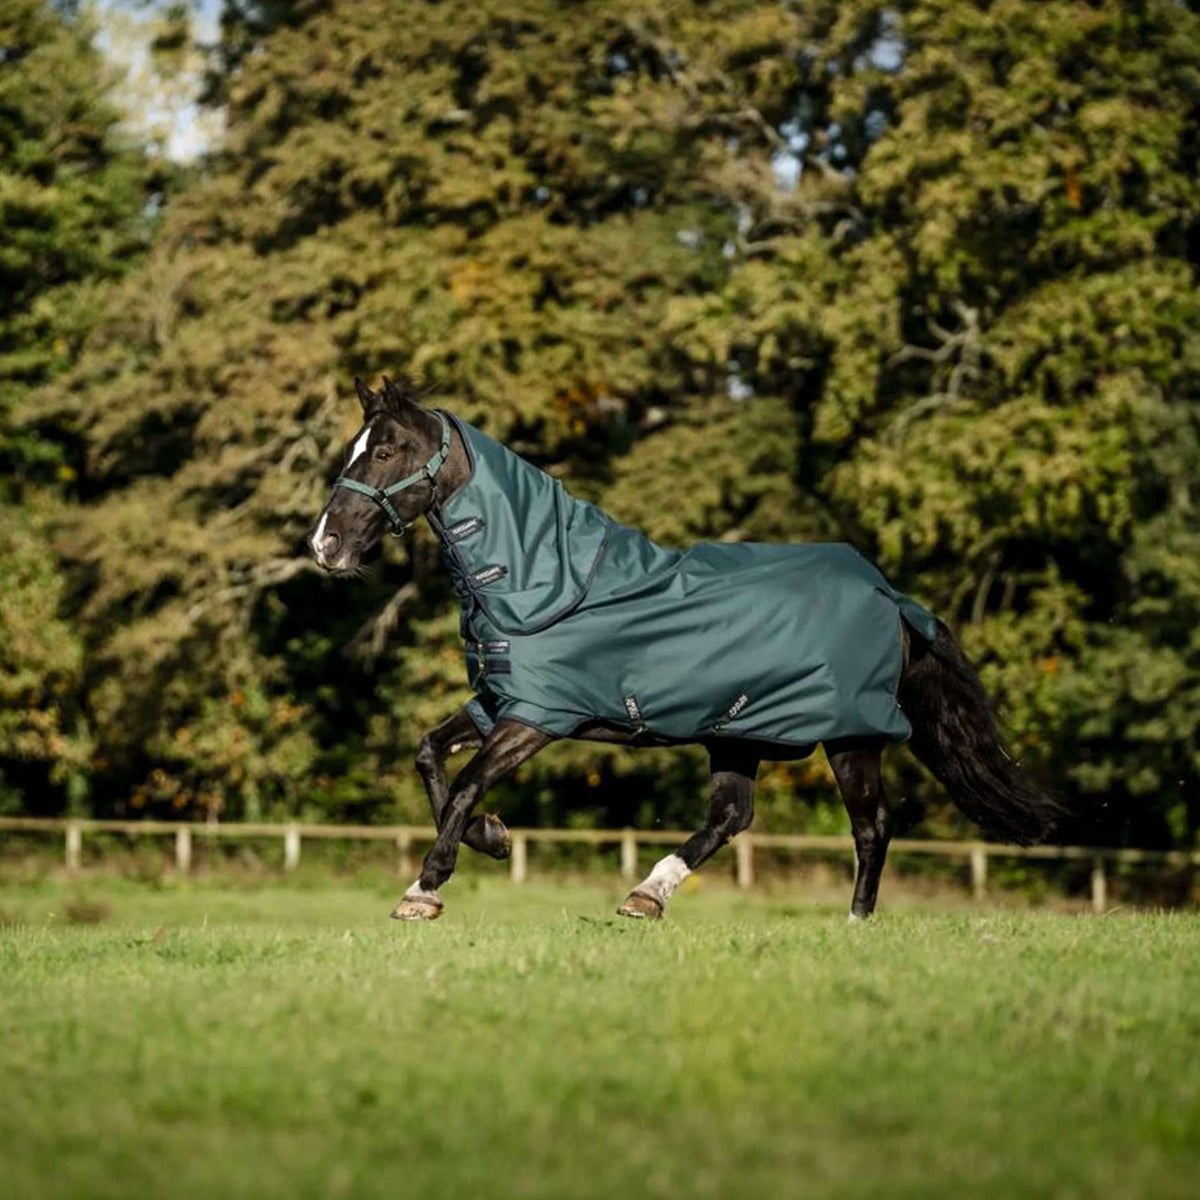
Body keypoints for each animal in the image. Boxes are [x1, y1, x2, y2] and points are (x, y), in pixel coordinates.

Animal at [308, 375, 1061, 922]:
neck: (543, 578)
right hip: (740, 733)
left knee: (871, 826)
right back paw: (648, 894)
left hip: (851, 737)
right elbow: (429, 756)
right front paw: (493, 839)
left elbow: (465, 783)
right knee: (732, 815)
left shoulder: (538, 717)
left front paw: (425, 888)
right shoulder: (499, 700)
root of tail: (890, 597)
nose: (324, 545)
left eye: (384, 451)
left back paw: (854, 922)